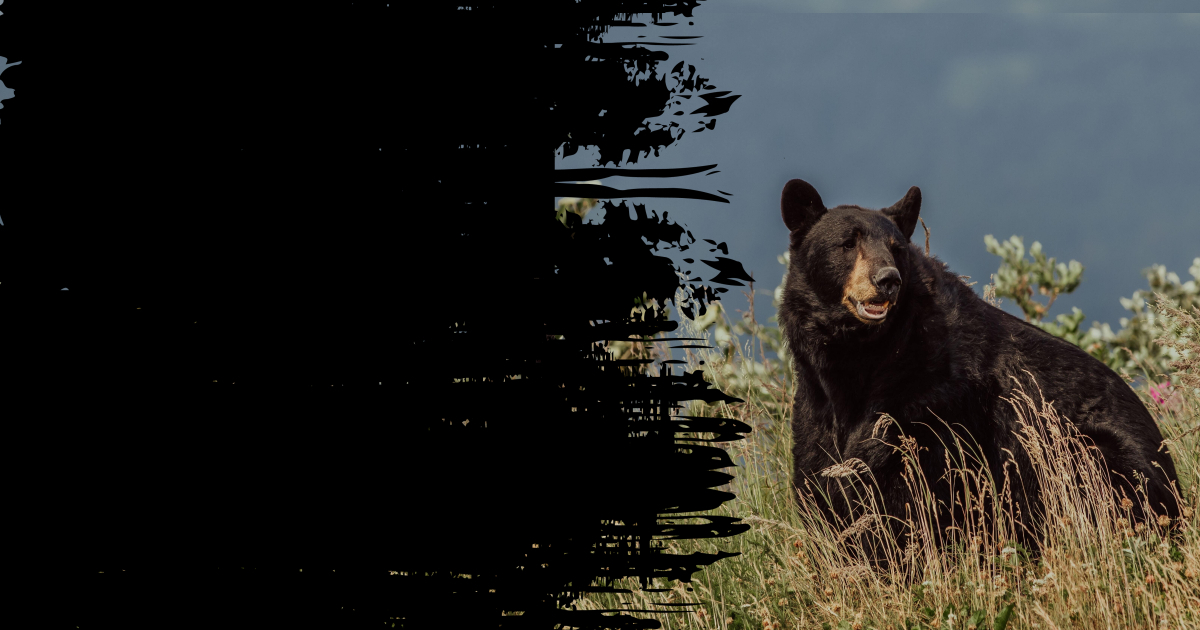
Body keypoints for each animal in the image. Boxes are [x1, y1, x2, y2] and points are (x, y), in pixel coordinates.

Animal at [776, 178, 1180, 553]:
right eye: (848, 243)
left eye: (896, 248)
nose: (888, 279)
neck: (862, 357)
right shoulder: (815, 404)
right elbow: (821, 477)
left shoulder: (933, 401)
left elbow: (909, 488)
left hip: (1091, 455)